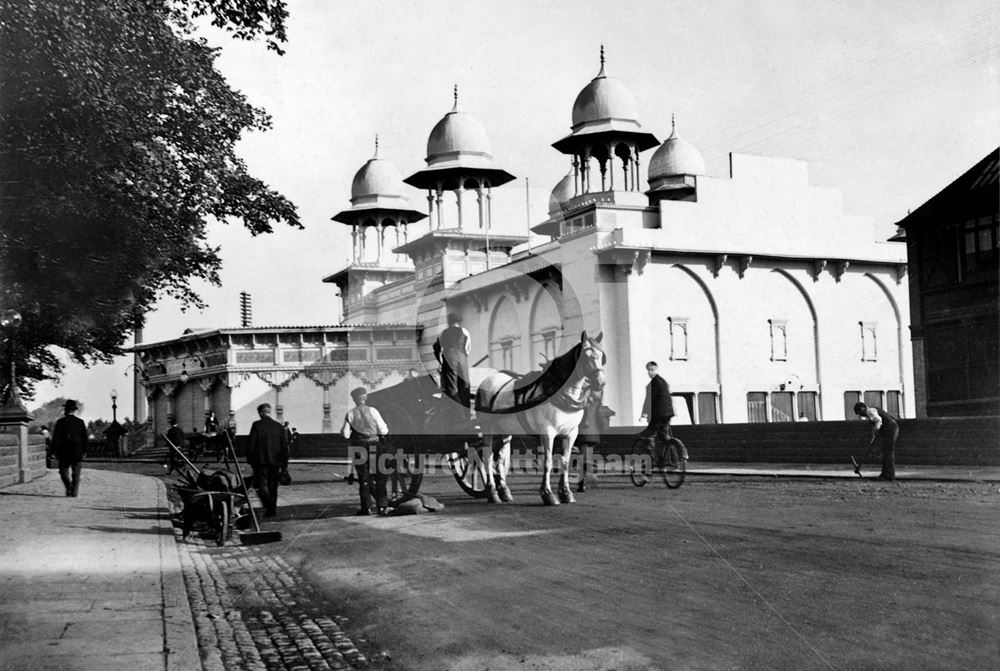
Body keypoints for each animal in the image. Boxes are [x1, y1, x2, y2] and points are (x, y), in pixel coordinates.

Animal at [474, 328, 604, 506]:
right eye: (587, 356)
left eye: (602, 355)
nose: (601, 382)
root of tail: (486, 381)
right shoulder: (548, 432)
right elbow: (548, 462)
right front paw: (547, 494)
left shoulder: (571, 433)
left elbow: (565, 461)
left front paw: (566, 492)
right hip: (488, 428)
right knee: (487, 457)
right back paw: (492, 492)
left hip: (504, 430)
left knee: (500, 458)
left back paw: (504, 491)